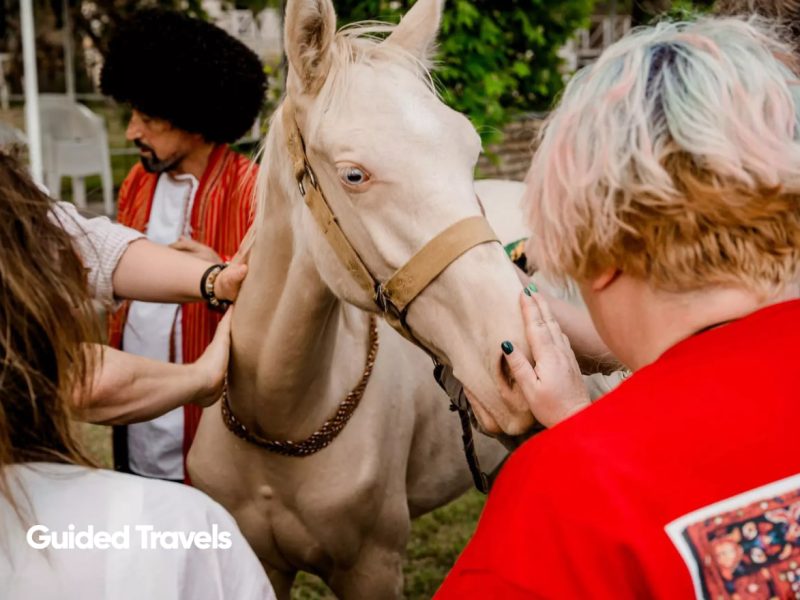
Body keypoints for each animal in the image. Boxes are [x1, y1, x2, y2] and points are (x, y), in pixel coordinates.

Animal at [188, 0, 596, 596]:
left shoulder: (372, 568)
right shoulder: (261, 565)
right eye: (354, 174)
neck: (280, 423)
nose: (526, 361)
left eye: (471, 152)